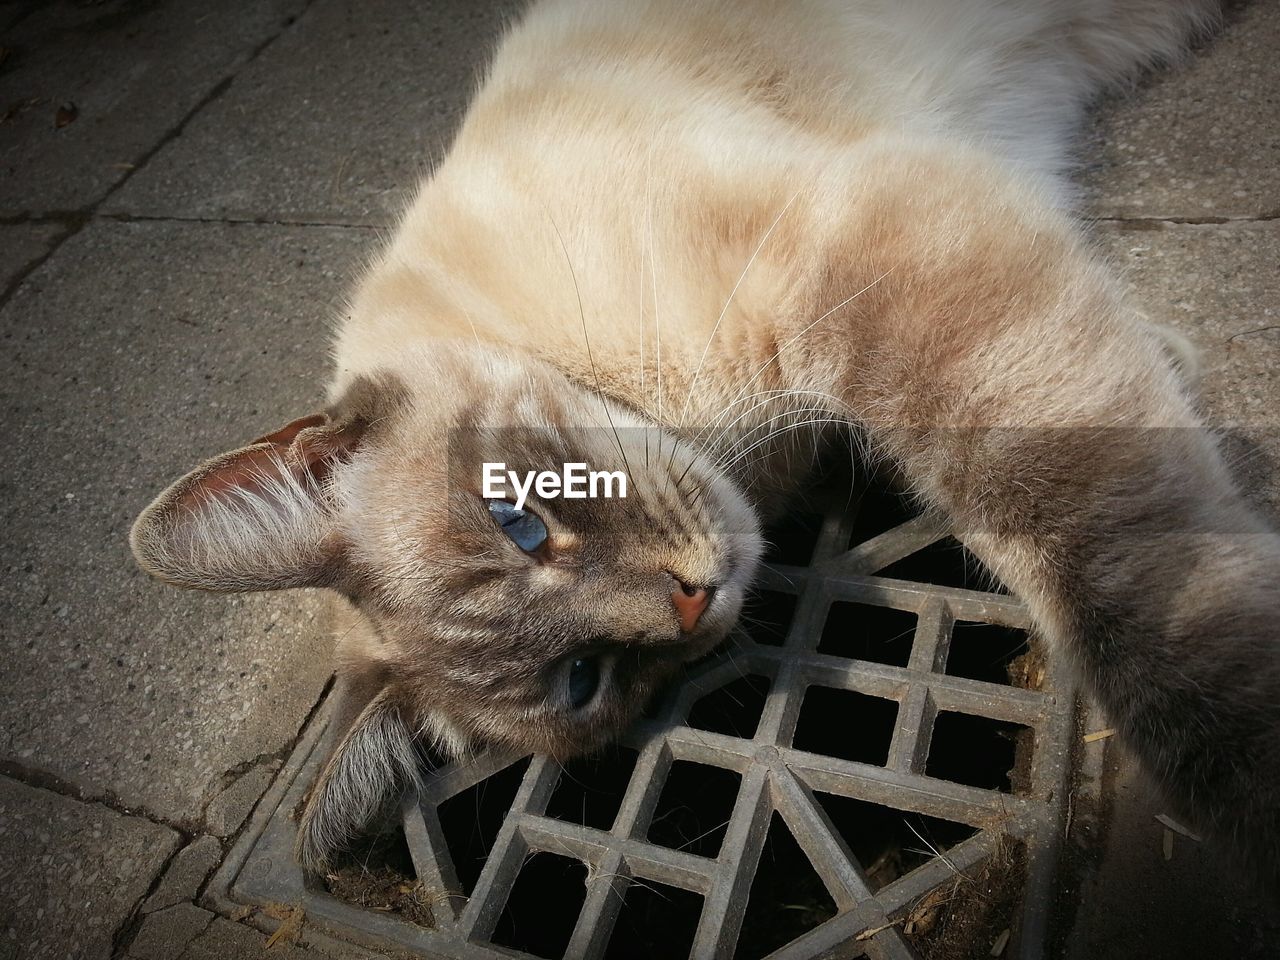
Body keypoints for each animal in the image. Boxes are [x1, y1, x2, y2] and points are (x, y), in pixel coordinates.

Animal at [129, 0, 1280, 890]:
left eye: (518, 517)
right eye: (585, 680)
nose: (690, 600)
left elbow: (1117, 561)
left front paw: (1247, 778)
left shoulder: (878, 250)